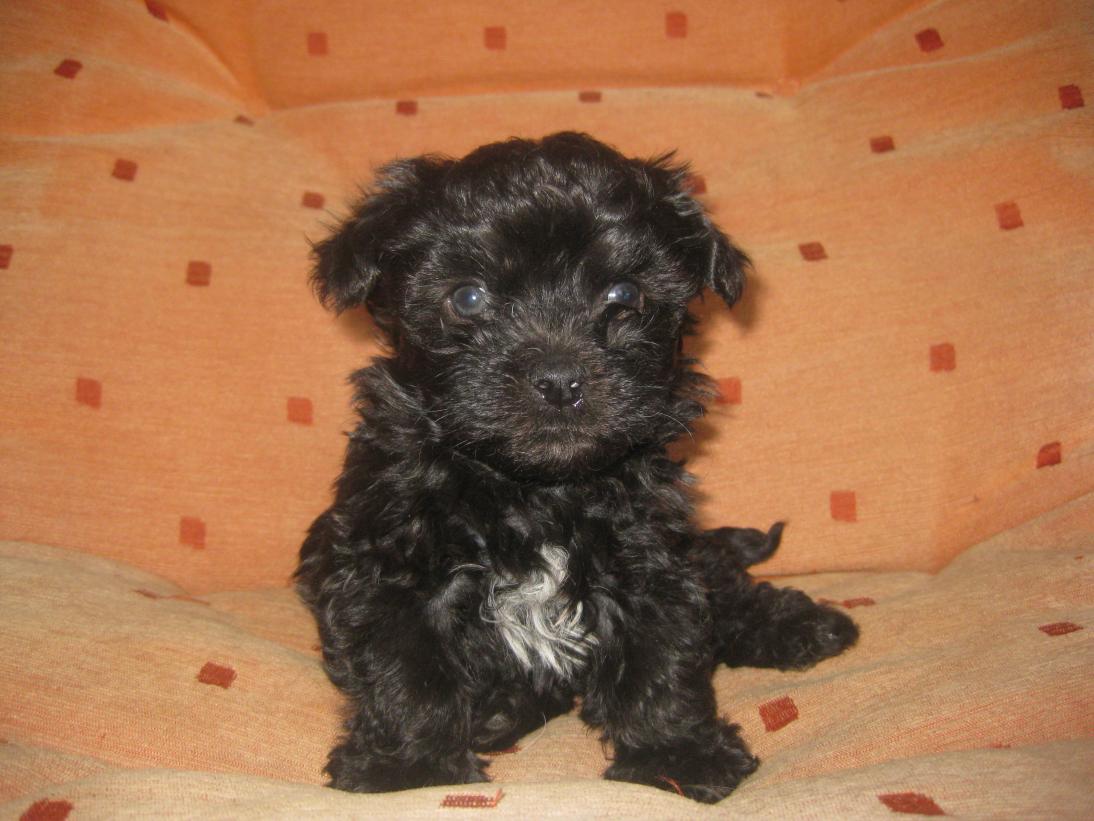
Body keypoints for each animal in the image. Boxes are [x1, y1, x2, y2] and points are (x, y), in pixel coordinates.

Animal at [295, 132, 858, 803]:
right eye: (467, 297)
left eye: (623, 297)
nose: (560, 379)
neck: (531, 489)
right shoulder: (388, 563)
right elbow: (406, 670)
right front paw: (407, 771)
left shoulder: (647, 555)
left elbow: (662, 656)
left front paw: (677, 754)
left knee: (723, 584)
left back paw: (800, 625)